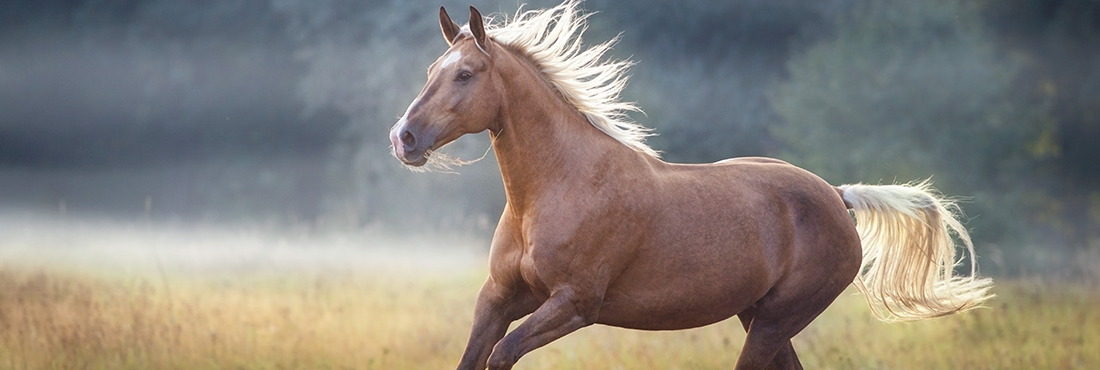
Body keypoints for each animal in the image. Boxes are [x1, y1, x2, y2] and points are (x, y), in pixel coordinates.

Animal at [389, 1, 998, 367]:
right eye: (430, 72)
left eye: (465, 75)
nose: (404, 138)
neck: (555, 189)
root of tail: (836, 195)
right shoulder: (498, 297)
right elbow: (473, 358)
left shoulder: (573, 305)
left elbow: (501, 356)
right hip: (759, 315)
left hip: (774, 321)